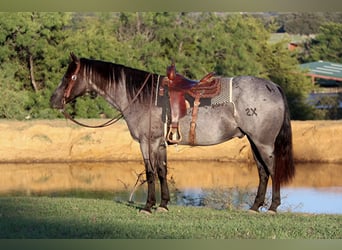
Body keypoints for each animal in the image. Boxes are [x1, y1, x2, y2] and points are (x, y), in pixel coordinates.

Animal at [50, 52, 294, 213]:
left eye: (69, 77)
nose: (54, 100)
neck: (142, 96)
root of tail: (273, 87)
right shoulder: (160, 143)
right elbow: (161, 171)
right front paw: (164, 204)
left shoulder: (147, 142)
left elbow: (149, 172)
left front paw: (148, 206)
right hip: (254, 142)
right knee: (263, 172)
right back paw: (255, 207)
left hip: (263, 143)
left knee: (273, 170)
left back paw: (272, 207)